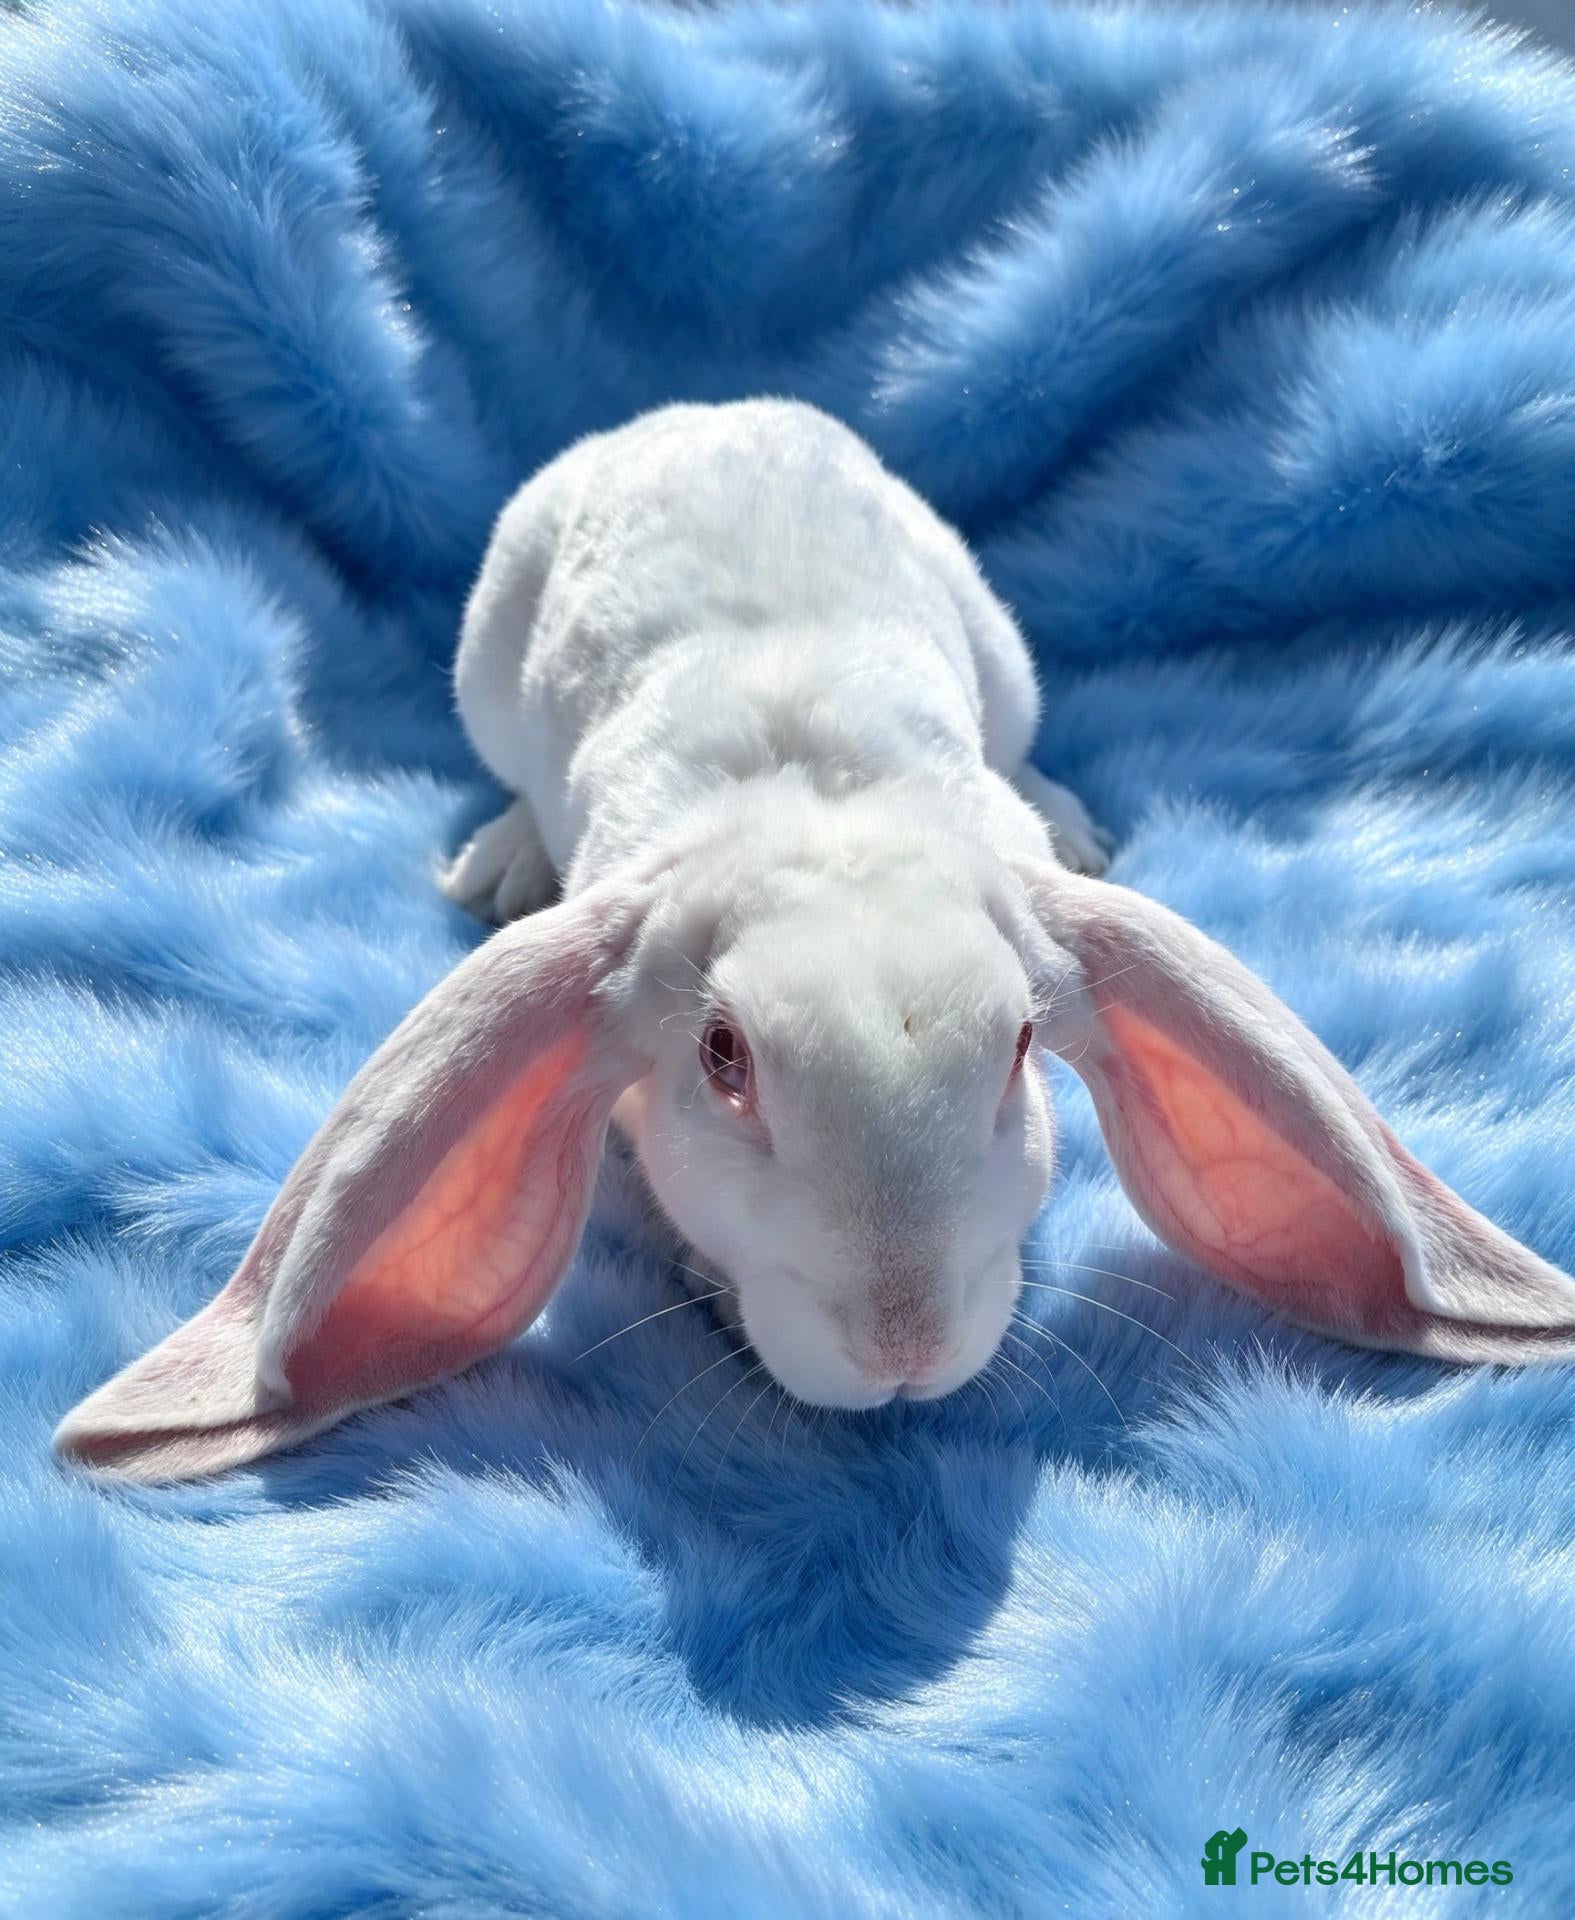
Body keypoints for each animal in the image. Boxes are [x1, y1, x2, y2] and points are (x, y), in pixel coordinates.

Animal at [56, 399, 1575, 1482]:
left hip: (997, 649)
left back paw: (1075, 821)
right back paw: (497, 861)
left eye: (1022, 1046)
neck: (823, 801)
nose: (901, 1346)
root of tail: (708, 409)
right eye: (723, 1058)